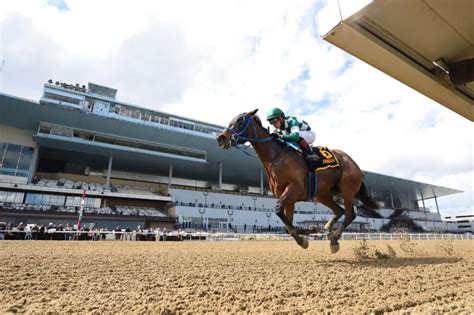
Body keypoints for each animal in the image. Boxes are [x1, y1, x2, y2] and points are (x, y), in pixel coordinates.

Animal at [218, 110, 378, 253]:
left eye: (241, 120)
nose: (221, 138)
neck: (276, 157)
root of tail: (353, 163)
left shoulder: (296, 189)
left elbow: (278, 210)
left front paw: (307, 233)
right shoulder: (287, 196)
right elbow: (287, 225)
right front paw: (306, 233)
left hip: (347, 189)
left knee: (350, 214)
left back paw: (333, 240)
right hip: (322, 194)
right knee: (340, 211)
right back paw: (329, 231)